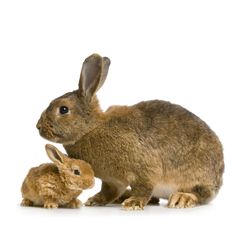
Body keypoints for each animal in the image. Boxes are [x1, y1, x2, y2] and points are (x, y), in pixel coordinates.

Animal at [36, 54, 224, 210]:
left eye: (63, 109)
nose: (38, 126)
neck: (91, 128)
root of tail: (219, 178)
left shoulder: (144, 169)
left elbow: (143, 186)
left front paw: (133, 204)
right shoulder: (111, 180)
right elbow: (109, 191)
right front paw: (95, 200)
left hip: (196, 177)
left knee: (200, 194)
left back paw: (181, 198)